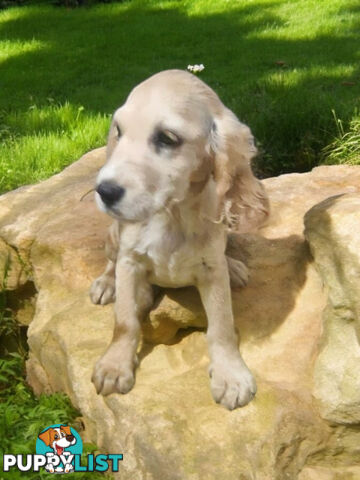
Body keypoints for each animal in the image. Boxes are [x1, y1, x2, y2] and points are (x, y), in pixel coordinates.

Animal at [91, 69, 268, 410]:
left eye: (167, 138)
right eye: (119, 131)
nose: (104, 191)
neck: (170, 215)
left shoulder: (212, 271)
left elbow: (221, 326)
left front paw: (230, 374)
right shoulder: (129, 261)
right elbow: (124, 322)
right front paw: (114, 365)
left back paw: (234, 266)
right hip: (112, 235)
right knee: (110, 261)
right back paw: (107, 283)